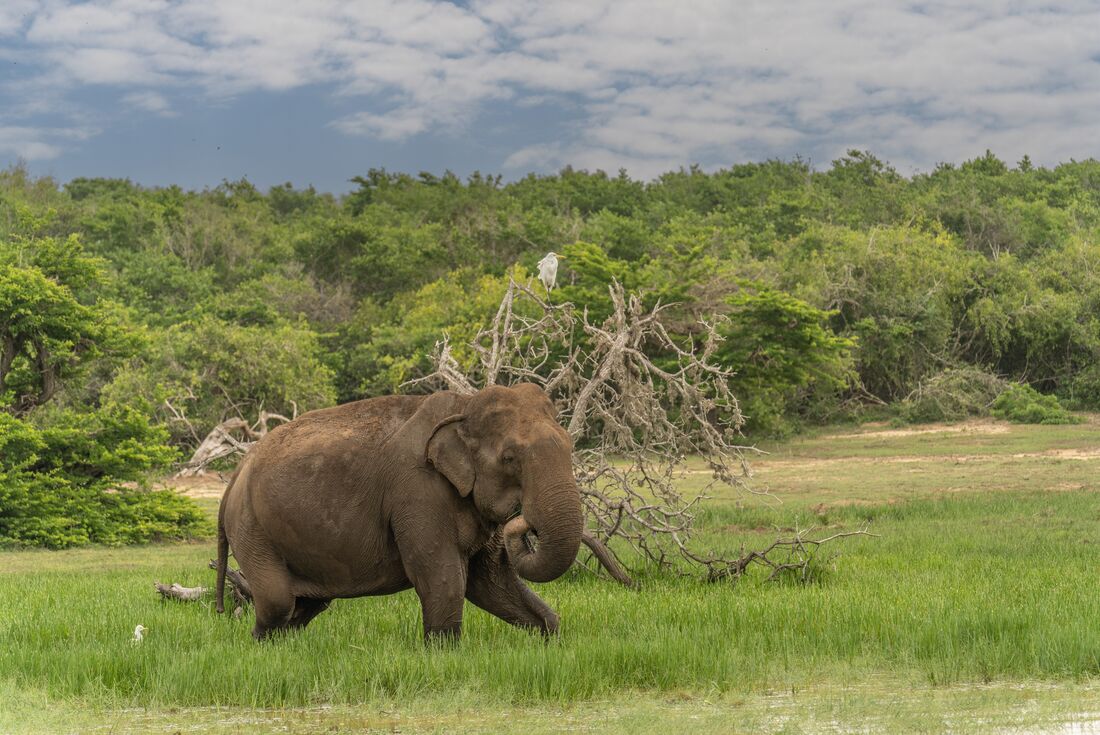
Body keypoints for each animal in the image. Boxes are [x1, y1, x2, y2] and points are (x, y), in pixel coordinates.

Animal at [215, 383, 584, 641]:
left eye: (571, 446)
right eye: (509, 458)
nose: (524, 524)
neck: (464, 405)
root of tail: (237, 473)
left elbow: (491, 580)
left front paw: (550, 638)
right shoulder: (417, 491)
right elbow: (443, 577)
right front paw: (444, 653)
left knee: (307, 604)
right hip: (251, 527)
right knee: (277, 601)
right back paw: (261, 647)